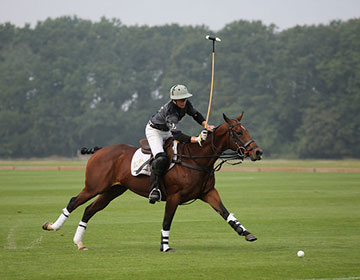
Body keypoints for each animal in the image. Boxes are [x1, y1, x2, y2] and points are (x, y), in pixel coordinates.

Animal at [42, 112, 262, 253]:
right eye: (238, 132)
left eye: (247, 130)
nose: (257, 152)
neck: (197, 159)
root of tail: (100, 150)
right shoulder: (174, 196)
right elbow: (167, 221)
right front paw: (165, 246)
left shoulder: (208, 193)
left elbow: (226, 213)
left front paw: (246, 233)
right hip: (94, 186)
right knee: (74, 201)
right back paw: (52, 227)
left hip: (113, 190)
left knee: (89, 209)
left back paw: (79, 243)